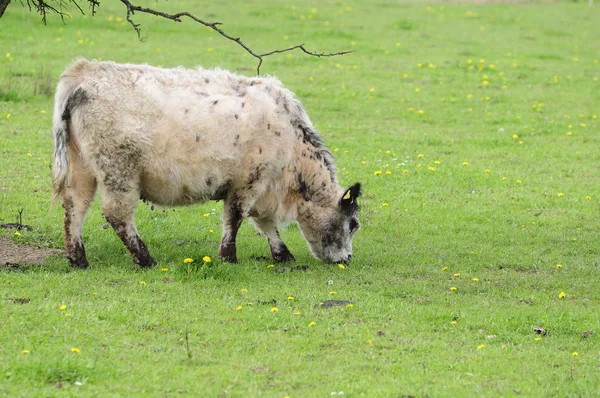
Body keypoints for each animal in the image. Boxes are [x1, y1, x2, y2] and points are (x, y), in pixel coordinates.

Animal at [51, 58, 360, 268]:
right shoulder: (249, 180)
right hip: (118, 171)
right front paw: (228, 257)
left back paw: (78, 259)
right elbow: (236, 217)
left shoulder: (262, 186)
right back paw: (145, 258)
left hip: (82, 169)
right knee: (117, 214)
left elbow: (265, 222)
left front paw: (283, 254)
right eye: (353, 223)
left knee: (75, 208)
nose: (347, 258)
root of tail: (86, 72)